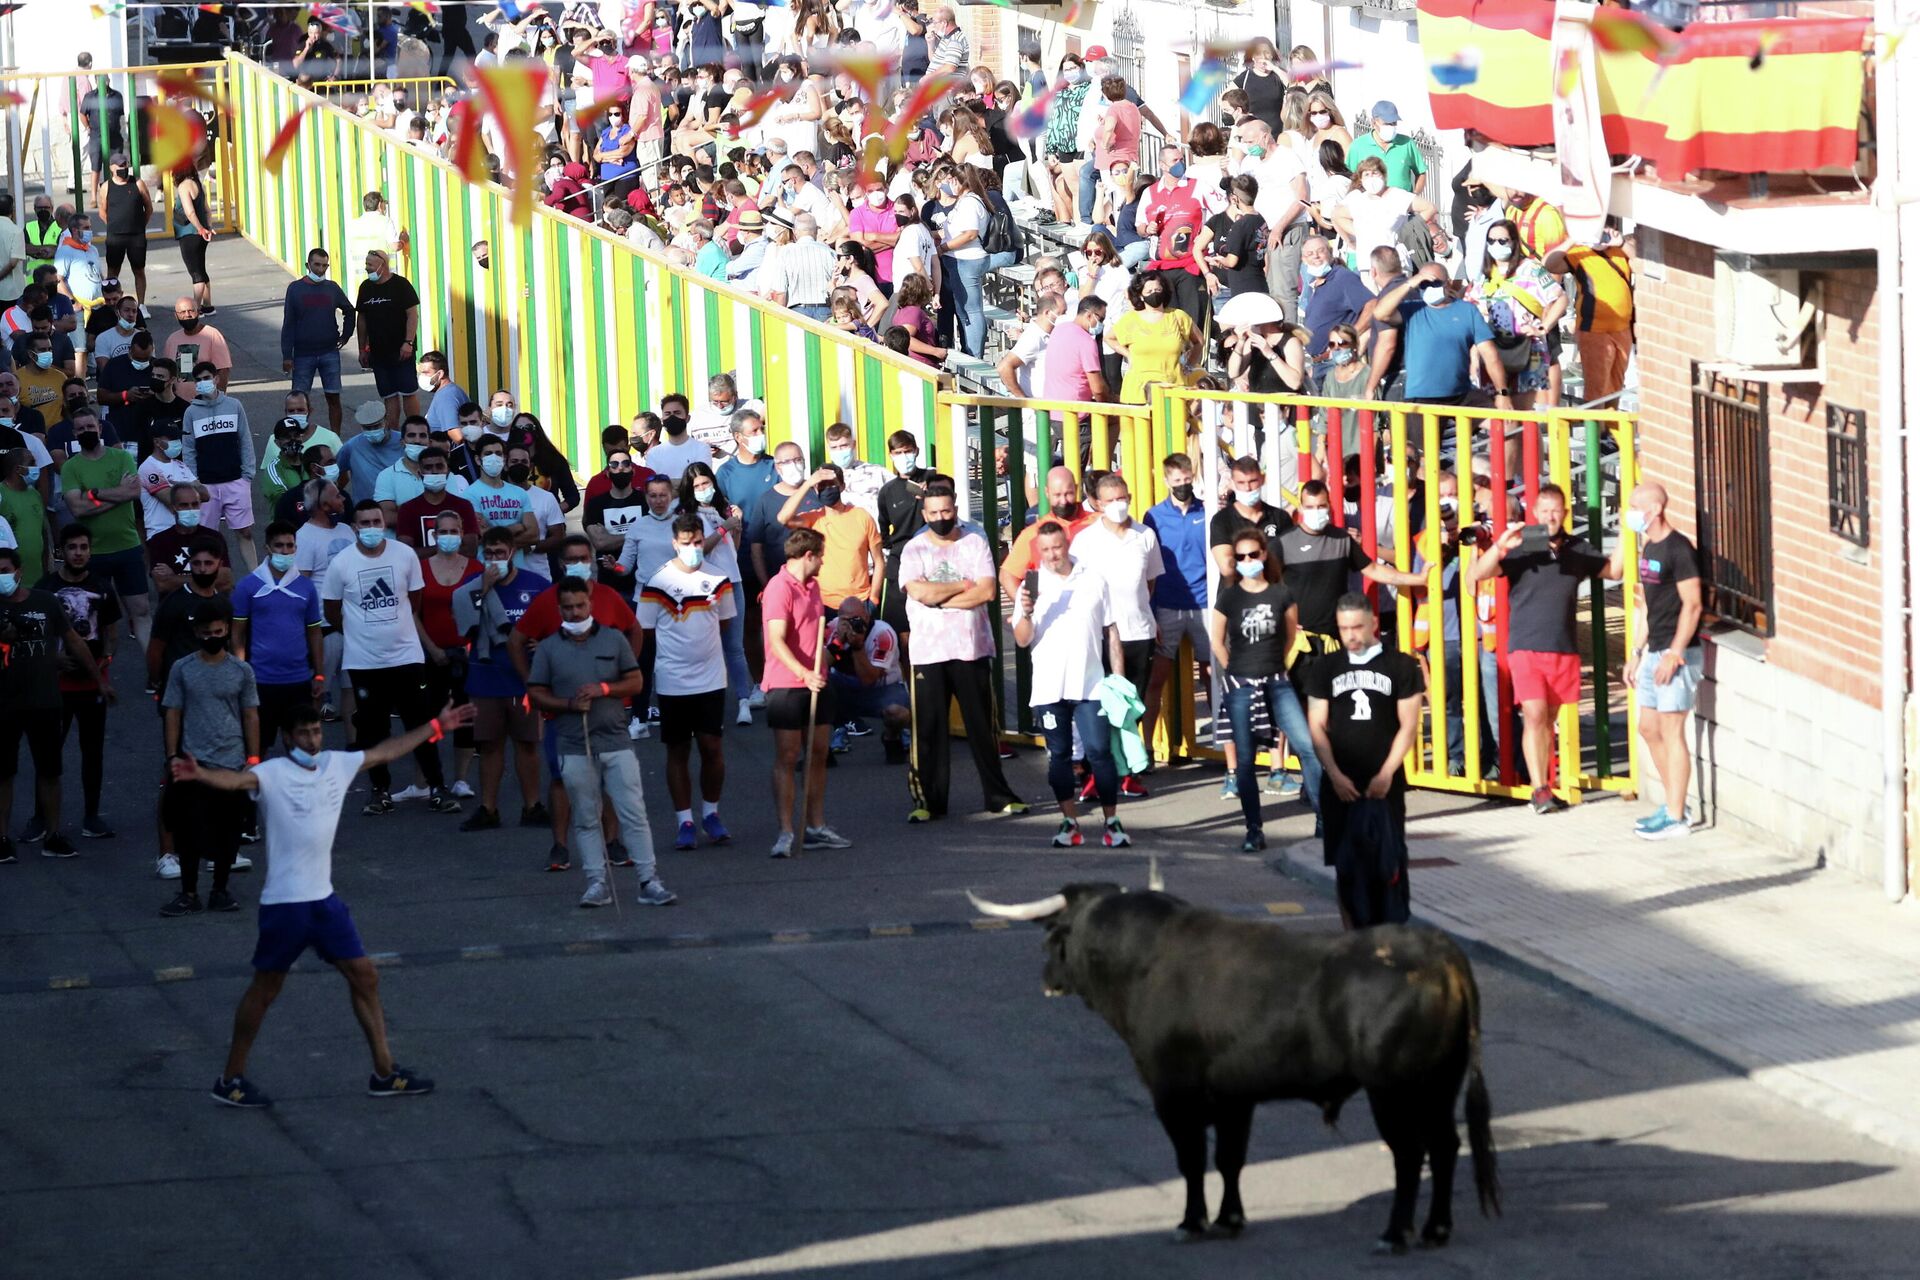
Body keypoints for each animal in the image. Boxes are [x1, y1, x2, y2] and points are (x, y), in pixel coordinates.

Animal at [975, 886, 1497, 1258]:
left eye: (1054, 938)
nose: (1046, 979)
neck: (1145, 960)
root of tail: (1438, 951)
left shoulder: (1172, 1094)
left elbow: (1191, 1160)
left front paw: (1191, 1222)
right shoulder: (1234, 1097)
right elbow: (1229, 1159)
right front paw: (1230, 1220)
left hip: (1392, 1092)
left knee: (1409, 1155)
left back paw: (1395, 1234)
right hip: (1438, 1086)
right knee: (1445, 1146)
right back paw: (1436, 1230)